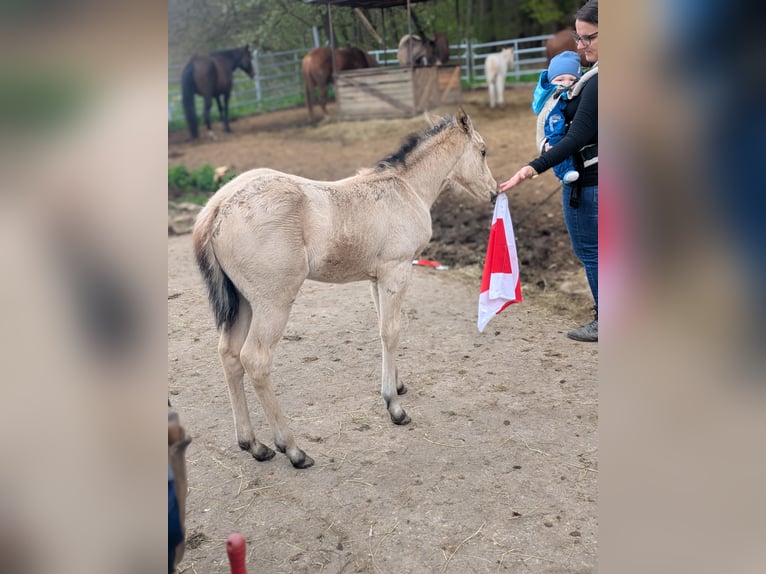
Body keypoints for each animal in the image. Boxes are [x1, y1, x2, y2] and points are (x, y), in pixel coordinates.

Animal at [192, 109, 497, 469]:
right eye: (483, 151)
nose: (494, 192)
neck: (405, 188)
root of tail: (217, 207)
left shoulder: (377, 278)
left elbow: (384, 330)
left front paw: (397, 384)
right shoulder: (397, 270)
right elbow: (392, 331)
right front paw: (394, 407)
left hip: (242, 302)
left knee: (229, 355)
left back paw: (253, 444)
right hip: (273, 302)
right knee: (255, 359)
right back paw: (292, 449)